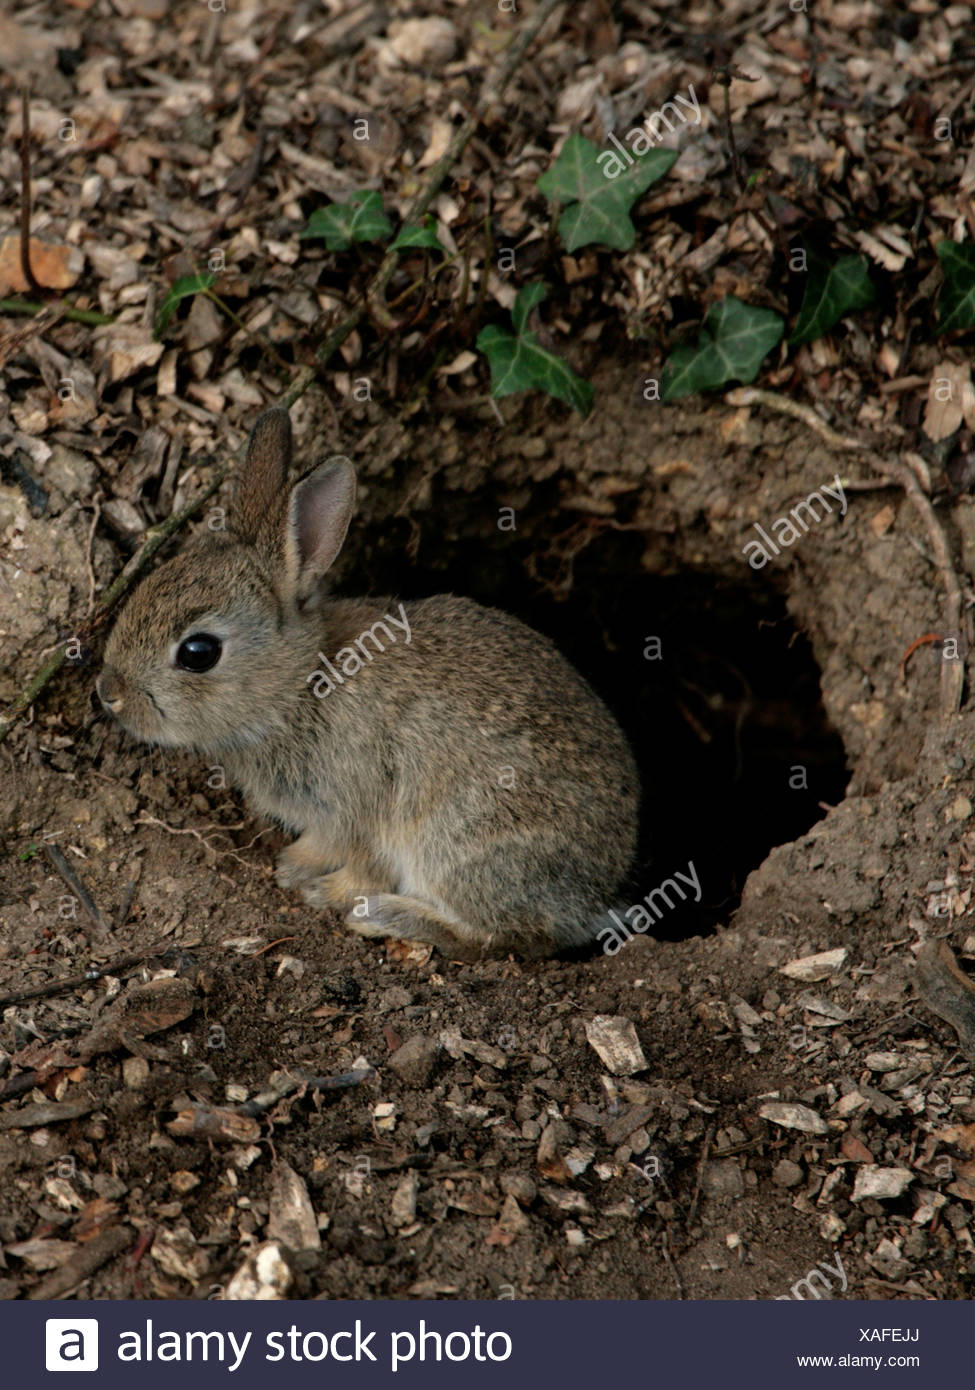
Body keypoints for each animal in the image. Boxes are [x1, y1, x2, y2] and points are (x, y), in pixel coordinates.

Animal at [96, 405, 639, 956]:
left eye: (198, 653)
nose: (108, 693)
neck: (299, 685)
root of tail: (591, 898)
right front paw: (294, 865)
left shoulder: (359, 810)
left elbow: (363, 865)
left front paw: (320, 889)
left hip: (459, 841)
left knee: (503, 938)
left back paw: (386, 916)